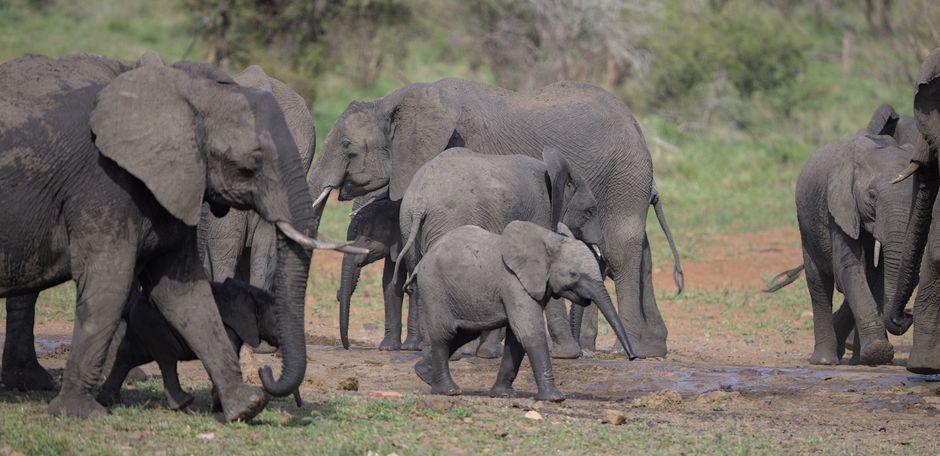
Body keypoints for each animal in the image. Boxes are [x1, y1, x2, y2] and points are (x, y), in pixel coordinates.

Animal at [98, 278, 301, 411]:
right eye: (277, 320)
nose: (265, 369)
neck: (252, 294)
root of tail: (131, 305)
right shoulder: (227, 326)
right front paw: (220, 407)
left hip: (141, 328)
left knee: (127, 355)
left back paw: (109, 400)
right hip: (154, 325)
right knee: (167, 357)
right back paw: (184, 403)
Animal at [394, 147, 602, 359]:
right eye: (590, 212)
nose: (583, 352)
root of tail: (420, 200)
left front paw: (488, 352)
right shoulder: (540, 211)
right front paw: (570, 354)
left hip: (406, 222)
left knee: (419, 276)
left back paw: (432, 350)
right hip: (447, 220)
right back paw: (453, 353)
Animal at [407, 221, 635, 401]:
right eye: (573, 274)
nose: (632, 358)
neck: (549, 240)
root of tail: (421, 262)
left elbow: (517, 339)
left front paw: (504, 394)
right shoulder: (514, 282)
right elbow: (529, 331)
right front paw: (555, 398)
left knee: (463, 333)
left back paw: (423, 374)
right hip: (434, 286)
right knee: (444, 334)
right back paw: (448, 390)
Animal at [770, 104, 918, 366]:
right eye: (871, 196)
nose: (907, 315)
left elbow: (876, 273)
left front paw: (872, 356)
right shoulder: (838, 205)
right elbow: (849, 267)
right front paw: (878, 352)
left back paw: (853, 357)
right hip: (807, 228)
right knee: (819, 285)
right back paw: (825, 360)